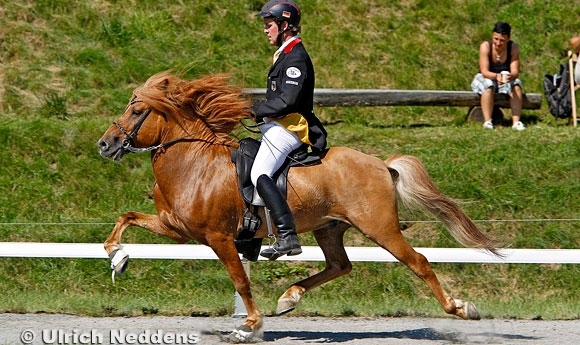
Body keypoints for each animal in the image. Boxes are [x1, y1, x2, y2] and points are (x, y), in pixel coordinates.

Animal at [97, 72, 496, 342]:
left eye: (137, 111)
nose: (105, 144)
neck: (194, 162)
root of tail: (382, 164)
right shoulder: (176, 226)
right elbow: (125, 218)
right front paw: (119, 258)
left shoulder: (218, 238)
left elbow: (240, 281)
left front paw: (250, 326)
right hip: (328, 227)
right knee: (340, 265)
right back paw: (289, 297)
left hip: (379, 227)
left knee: (419, 263)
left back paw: (461, 308)